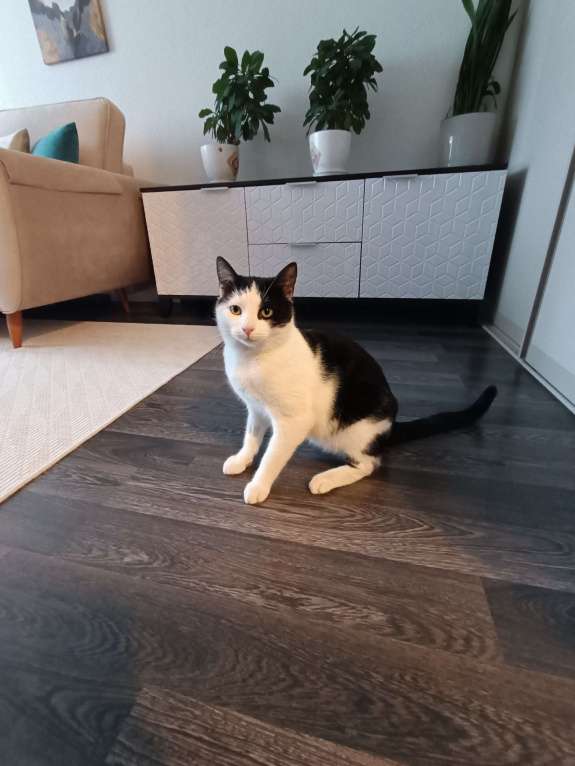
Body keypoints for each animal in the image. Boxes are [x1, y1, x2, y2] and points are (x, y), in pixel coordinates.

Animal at [215, 256, 497, 505]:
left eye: (266, 311)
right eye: (235, 310)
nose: (247, 329)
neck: (252, 360)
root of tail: (390, 425)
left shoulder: (294, 421)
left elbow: (272, 456)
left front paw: (258, 486)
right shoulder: (256, 408)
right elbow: (251, 435)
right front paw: (241, 459)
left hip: (353, 431)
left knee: (369, 464)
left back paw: (325, 479)